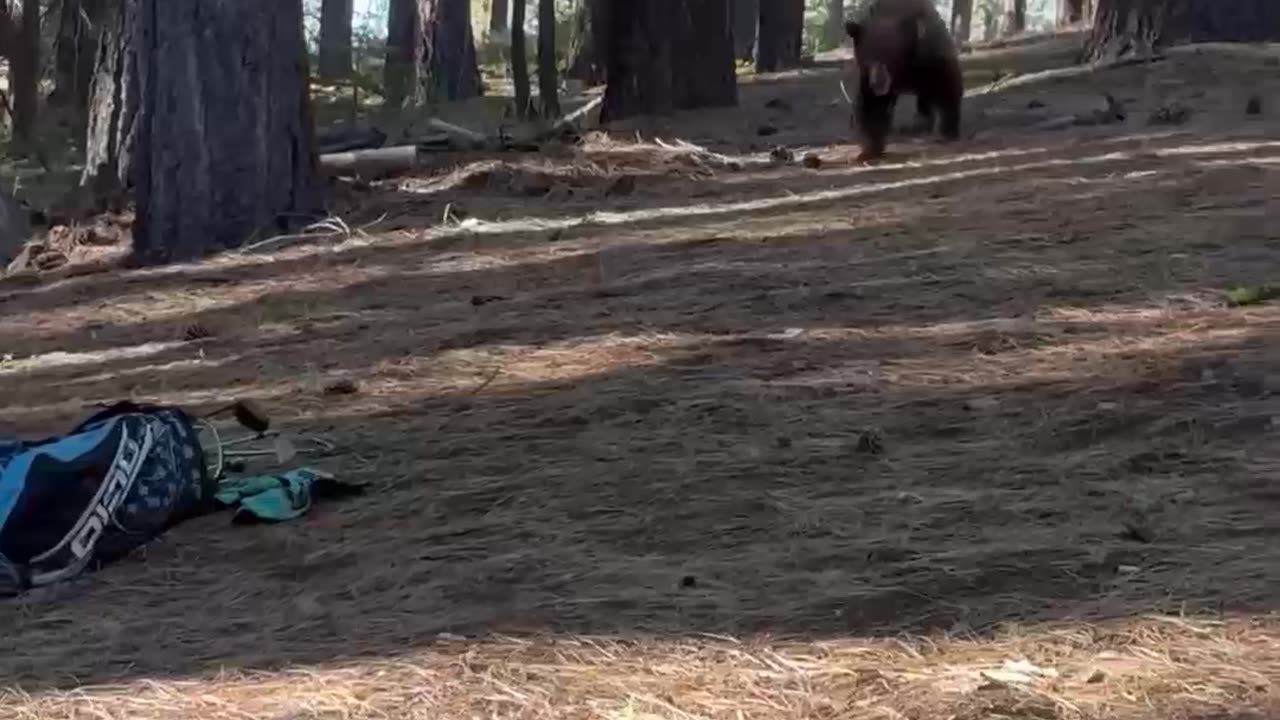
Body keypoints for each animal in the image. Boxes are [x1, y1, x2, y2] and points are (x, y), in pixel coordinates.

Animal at [839, 0, 962, 162]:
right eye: (868, 57)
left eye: (892, 56)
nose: (879, 84)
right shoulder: (869, 77)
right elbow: (872, 105)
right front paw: (870, 149)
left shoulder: (929, 58)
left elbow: (947, 87)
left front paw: (948, 132)